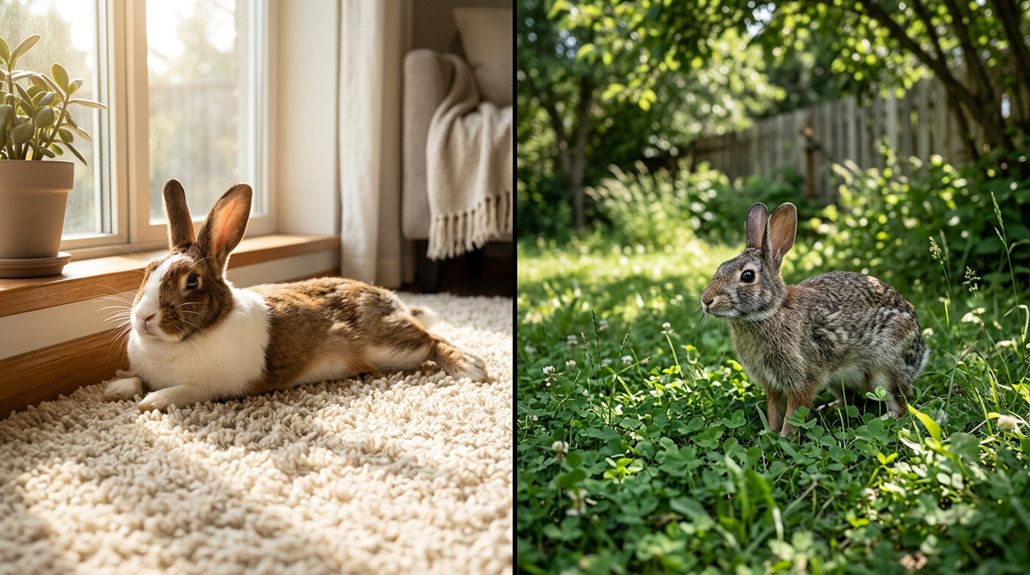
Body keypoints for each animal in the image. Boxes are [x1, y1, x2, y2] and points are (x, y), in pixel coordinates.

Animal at [103, 179, 489, 411]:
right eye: (148, 269)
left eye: (192, 282)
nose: (143, 317)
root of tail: (393, 302)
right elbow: (136, 377)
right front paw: (115, 389)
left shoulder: (215, 387)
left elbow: (184, 391)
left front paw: (152, 401)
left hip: (390, 348)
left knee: (431, 340)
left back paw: (471, 367)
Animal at [700, 202, 928, 436]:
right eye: (720, 267)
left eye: (747, 276)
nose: (706, 300)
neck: (772, 311)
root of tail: (920, 354)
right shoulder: (772, 385)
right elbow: (774, 411)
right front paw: (769, 433)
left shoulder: (803, 379)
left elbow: (793, 413)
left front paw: (785, 436)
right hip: (837, 382)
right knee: (849, 400)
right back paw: (827, 409)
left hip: (884, 370)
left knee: (900, 406)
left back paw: (876, 421)